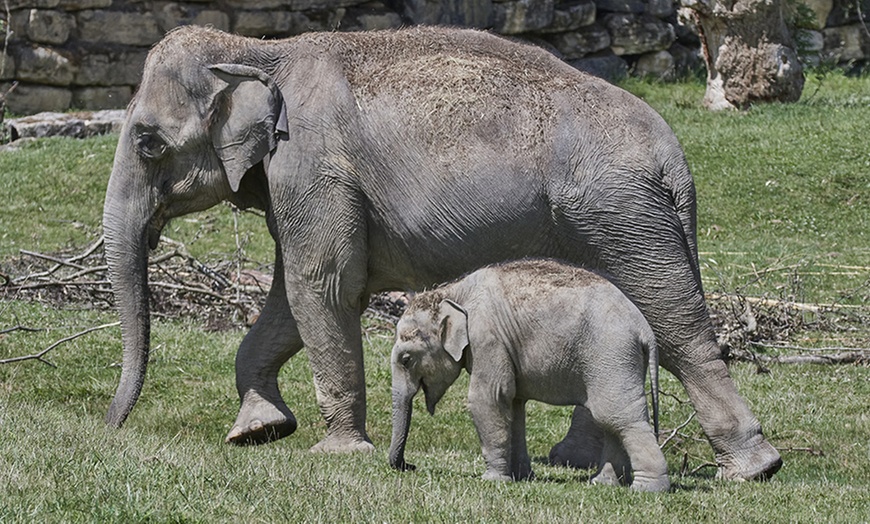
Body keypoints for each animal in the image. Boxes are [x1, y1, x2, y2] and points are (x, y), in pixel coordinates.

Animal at [392, 260, 672, 494]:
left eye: (406, 359)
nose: (410, 465)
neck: (453, 292)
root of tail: (644, 329)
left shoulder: (488, 338)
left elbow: (487, 399)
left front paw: (493, 481)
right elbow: (514, 405)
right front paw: (522, 477)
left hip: (611, 353)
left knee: (618, 416)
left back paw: (647, 490)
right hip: (618, 360)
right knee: (611, 420)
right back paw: (602, 484)